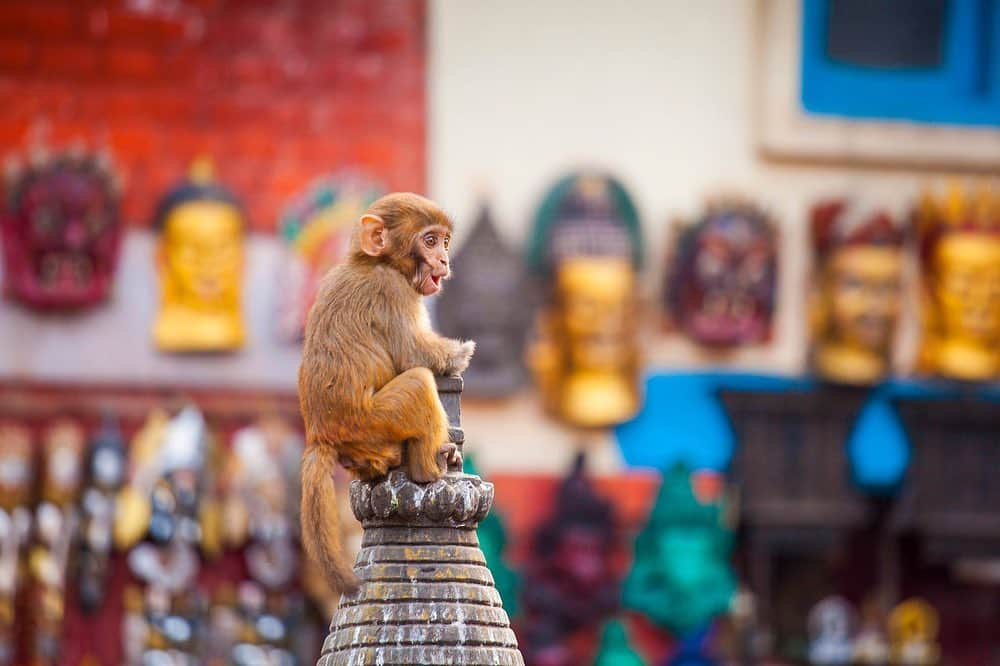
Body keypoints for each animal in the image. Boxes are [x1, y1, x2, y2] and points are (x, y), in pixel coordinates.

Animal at [298, 191, 474, 592]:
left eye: (444, 241)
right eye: (429, 240)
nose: (444, 260)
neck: (373, 261)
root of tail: (320, 435)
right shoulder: (392, 290)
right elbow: (416, 354)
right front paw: (461, 355)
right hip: (375, 421)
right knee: (419, 381)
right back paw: (430, 468)